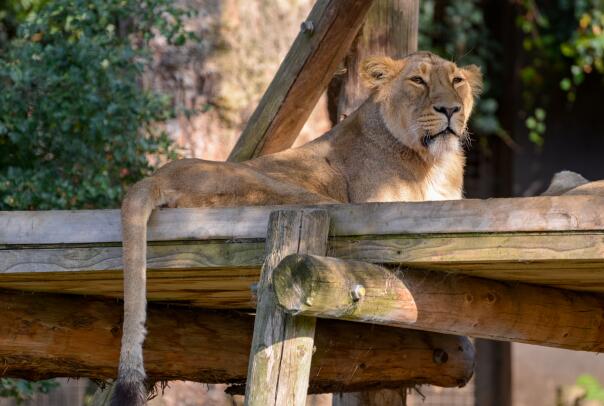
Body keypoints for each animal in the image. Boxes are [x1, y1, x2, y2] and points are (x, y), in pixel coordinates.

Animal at [111, 51, 484, 406]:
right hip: (286, 191)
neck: (434, 163)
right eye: (418, 80)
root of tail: (158, 177)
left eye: (457, 80)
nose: (450, 109)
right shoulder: (381, 202)